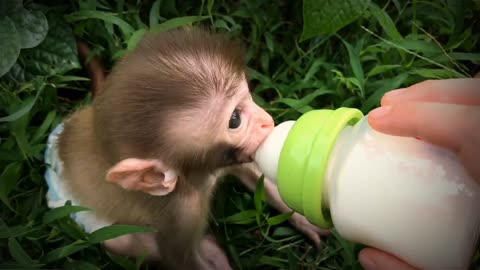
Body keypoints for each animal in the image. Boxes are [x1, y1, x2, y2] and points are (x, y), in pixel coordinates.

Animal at [44, 26, 326, 268]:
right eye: (235, 119)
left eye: (248, 95)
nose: (267, 121)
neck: (194, 177)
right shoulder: (179, 214)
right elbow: (179, 258)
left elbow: (255, 174)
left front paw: (304, 218)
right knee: (119, 241)